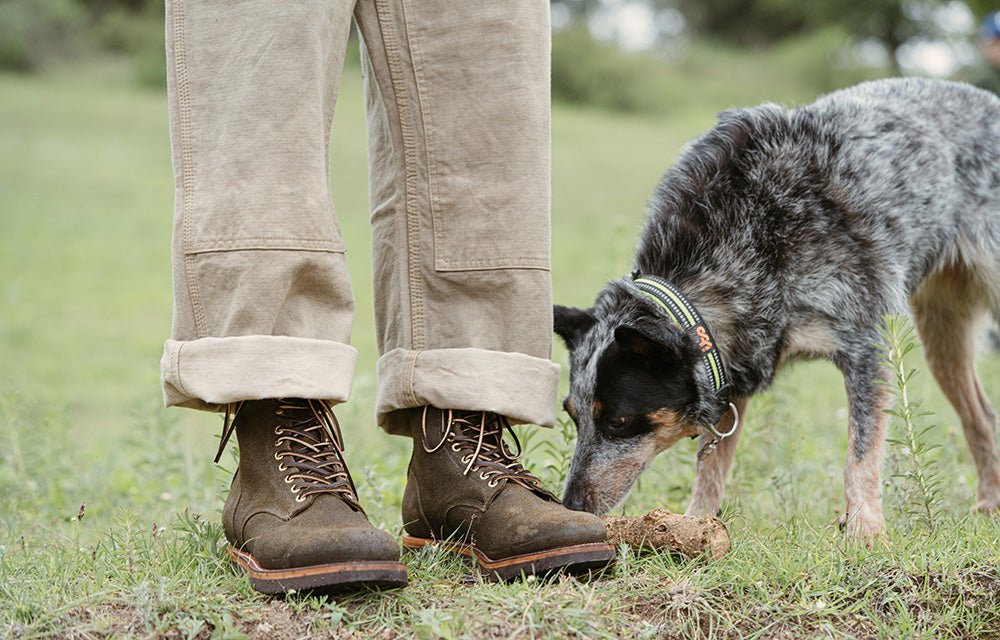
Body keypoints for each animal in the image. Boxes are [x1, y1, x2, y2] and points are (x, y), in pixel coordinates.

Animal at [552, 80, 1000, 540]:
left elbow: (861, 453)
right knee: (981, 416)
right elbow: (711, 465)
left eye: (618, 422)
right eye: (573, 416)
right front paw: (696, 524)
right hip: (941, 330)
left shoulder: (867, 345)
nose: (572, 505)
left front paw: (866, 531)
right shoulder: (733, 358)